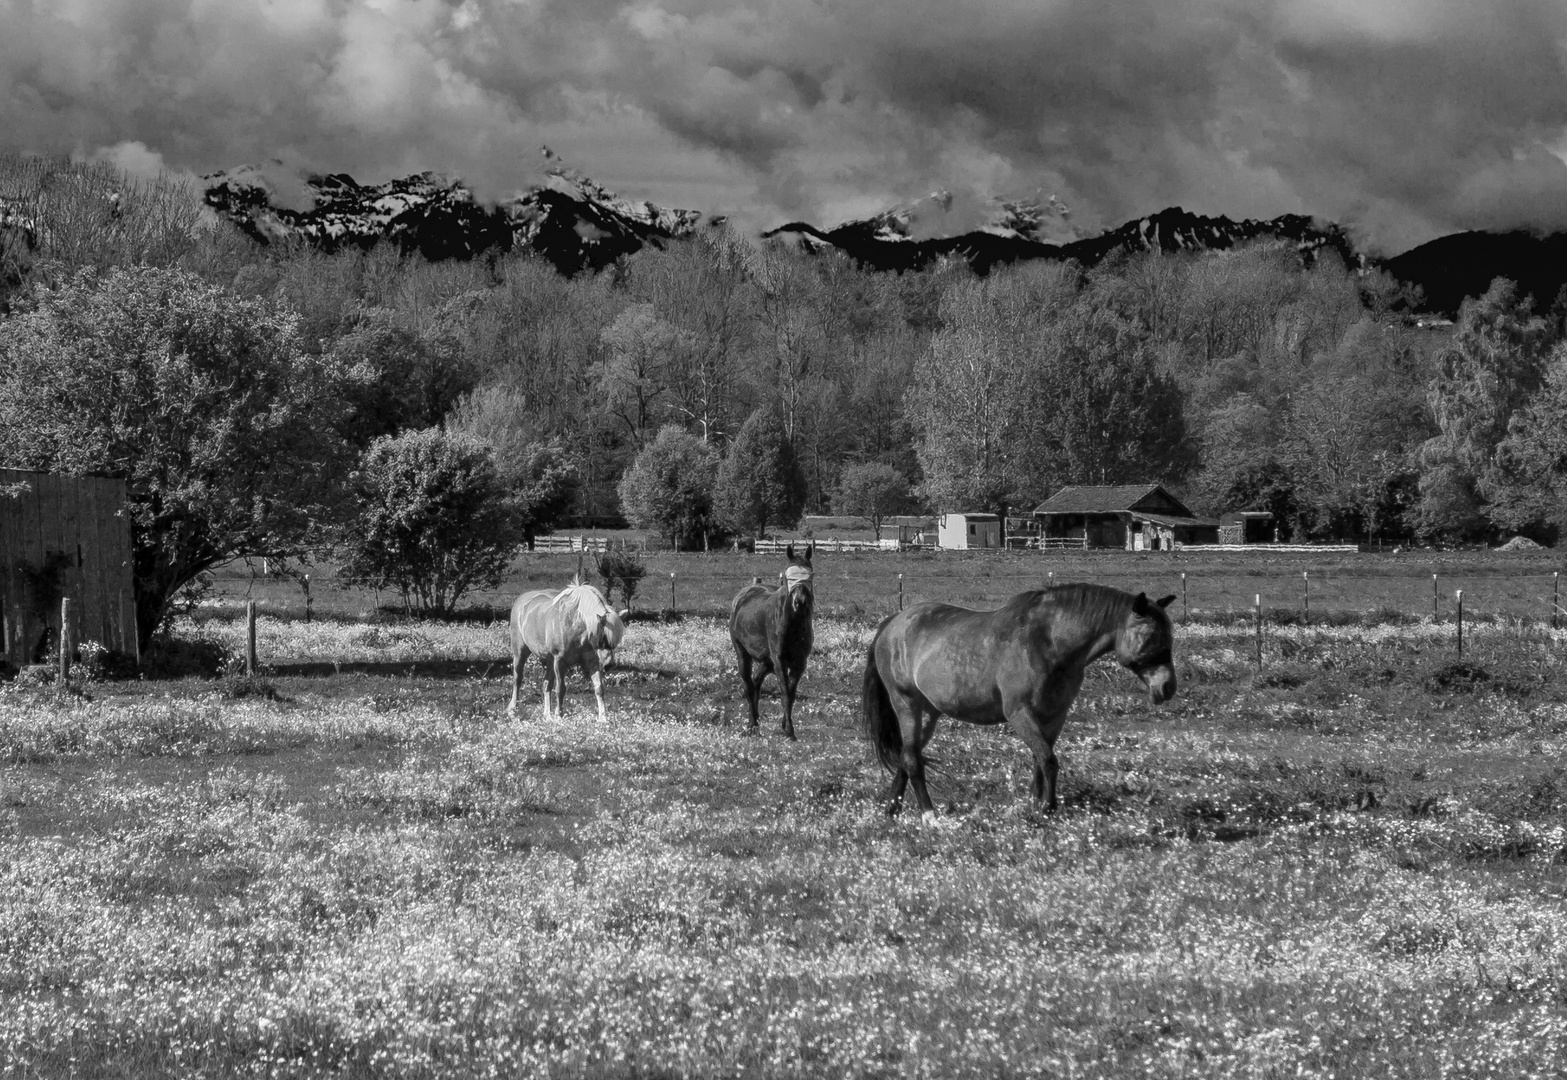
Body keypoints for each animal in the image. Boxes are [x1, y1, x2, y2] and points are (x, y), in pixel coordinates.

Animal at [504, 576, 620, 721]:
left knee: (546, 684)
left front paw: (603, 719)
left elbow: (599, 688)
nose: (610, 664)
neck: (575, 626)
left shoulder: (593, 661)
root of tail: (520, 600)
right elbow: (560, 689)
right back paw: (513, 710)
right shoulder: (560, 660)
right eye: (603, 638)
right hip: (520, 653)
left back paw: (547, 715)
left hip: (549, 660)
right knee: (517, 679)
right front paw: (559, 716)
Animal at [727, 542, 814, 736]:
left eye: (810, 575)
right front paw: (789, 730)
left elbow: (791, 693)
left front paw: (785, 724)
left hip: (767, 661)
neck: (792, 623)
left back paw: (755, 719)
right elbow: (785, 692)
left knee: (756, 683)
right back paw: (752, 723)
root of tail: (744, 594)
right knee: (748, 685)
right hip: (742, 653)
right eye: (789, 577)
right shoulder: (779, 660)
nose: (800, 602)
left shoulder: (800, 663)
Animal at [858, 586, 1178, 815]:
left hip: (928, 714)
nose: (1168, 687)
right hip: (907, 705)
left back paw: (892, 811)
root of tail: (893, 624)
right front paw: (1048, 808)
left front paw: (1035, 805)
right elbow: (1048, 759)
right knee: (912, 760)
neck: (1048, 643)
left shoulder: (1053, 716)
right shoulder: (1020, 713)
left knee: (906, 756)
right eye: (1150, 635)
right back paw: (929, 816)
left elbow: (1040, 759)